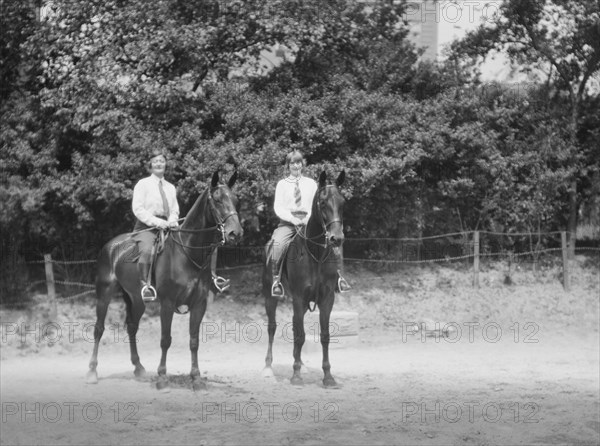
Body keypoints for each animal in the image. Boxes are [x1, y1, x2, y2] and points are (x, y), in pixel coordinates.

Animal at [86, 171, 241, 390]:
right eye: (218, 200)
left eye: (236, 200)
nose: (236, 233)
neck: (186, 253)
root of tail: (111, 246)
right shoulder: (167, 303)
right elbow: (165, 339)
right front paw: (162, 377)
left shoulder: (199, 304)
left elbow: (194, 341)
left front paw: (196, 378)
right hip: (104, 294)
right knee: (98, 329)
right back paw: (92, 372)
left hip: (137, 300)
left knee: (132, 327)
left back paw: (139, 368)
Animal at [262, 171, 346, 386]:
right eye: (323, 202)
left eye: (342, 202)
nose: (336, 238)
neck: (315, 253)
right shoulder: (299, 297)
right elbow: (300, 335)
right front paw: (296, 375)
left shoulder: (326, 299)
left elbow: (324, 335)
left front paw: (328, 376)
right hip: (270, 297)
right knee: (272, 327)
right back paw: (268, 368)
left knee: (293, 326)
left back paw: (300, 364)